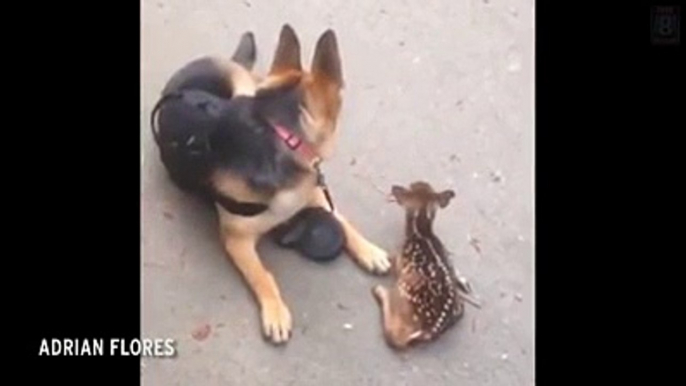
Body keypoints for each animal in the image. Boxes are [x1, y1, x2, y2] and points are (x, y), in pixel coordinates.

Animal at [150, 25, 392, 346]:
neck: (281, 136)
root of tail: (204, 60)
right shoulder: (237, 239)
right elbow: (263, 276)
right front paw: (275, 311)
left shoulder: (312, 190)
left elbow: (343, 219)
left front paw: (368, 250)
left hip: (246, 86)